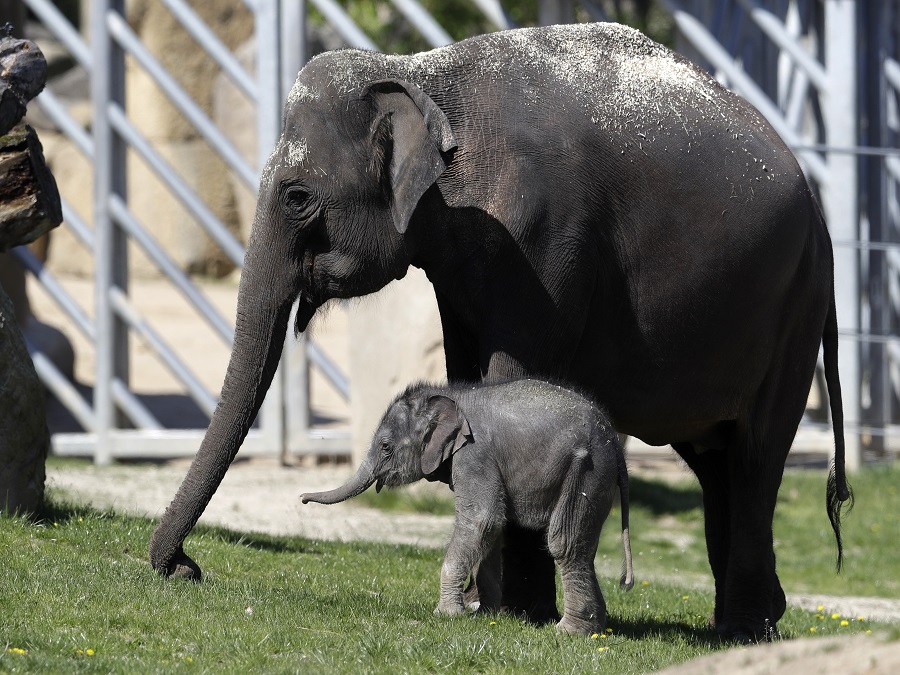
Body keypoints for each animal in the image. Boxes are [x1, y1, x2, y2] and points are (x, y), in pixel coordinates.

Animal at [300, 382, 632, 636]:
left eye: (385, 447)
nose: (302, 499)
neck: (452, 396)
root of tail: (617, 446)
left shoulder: (475, 454)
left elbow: (482, 519)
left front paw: (446, 615)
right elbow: (493, 530)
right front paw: (485, 615)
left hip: (588, 469)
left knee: (565, 542)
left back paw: (569, 632)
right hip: (598, 478)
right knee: (582, 546)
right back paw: (595, 629)